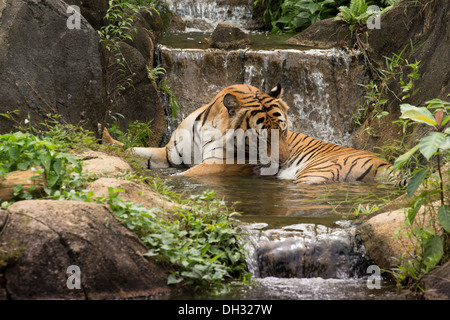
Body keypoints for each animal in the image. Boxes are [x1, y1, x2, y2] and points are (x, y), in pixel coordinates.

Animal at [101, 84, 292, 176]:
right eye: (263, 139)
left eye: (283, 132)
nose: (284, 162)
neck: (210, 127)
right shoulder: (170, 155)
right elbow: (136, 151)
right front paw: (105, 137)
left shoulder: (218, 164)